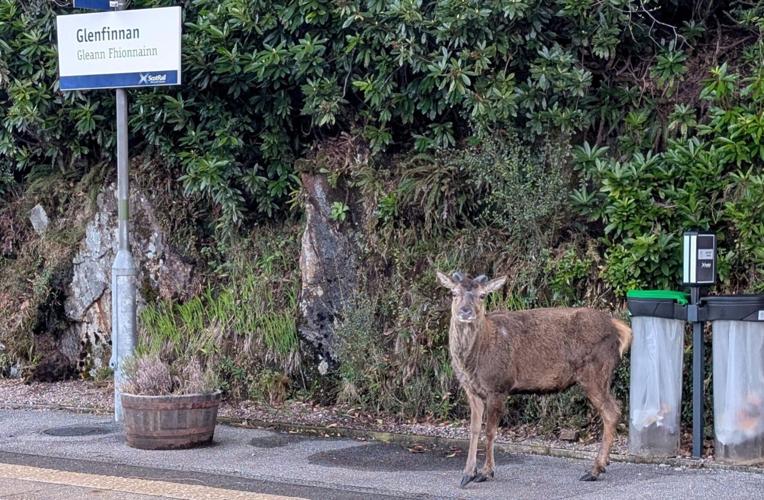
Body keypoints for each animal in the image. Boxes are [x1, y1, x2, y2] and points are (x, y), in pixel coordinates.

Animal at [436, 271, 632, 488]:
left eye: (482, 295)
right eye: (454, 293)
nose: (466, 311)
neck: (472, 361)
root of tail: (620, 329)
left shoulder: (498, 385)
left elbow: (490, 431)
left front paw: (486, 472)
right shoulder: (471, 389)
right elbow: (474, 429)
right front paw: (467, 474)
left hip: (595, 372)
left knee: (612, 411)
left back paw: (594, 470)